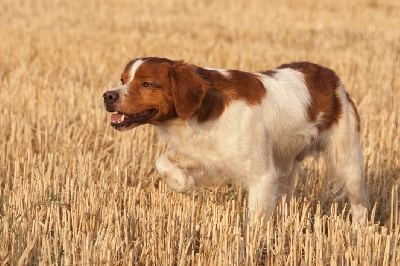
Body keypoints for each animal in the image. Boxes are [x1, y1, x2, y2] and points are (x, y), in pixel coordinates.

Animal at [104, 57, 368, 223]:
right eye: (122, 80)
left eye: (148, 83)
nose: (108, 96)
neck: (206, 108)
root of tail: (332, 77)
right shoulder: (204, 154)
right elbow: (162, 162)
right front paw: (187, 186)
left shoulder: (263, 176)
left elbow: (255, 223)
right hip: (285, 165)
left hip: (347, 162)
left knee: (360, 206)